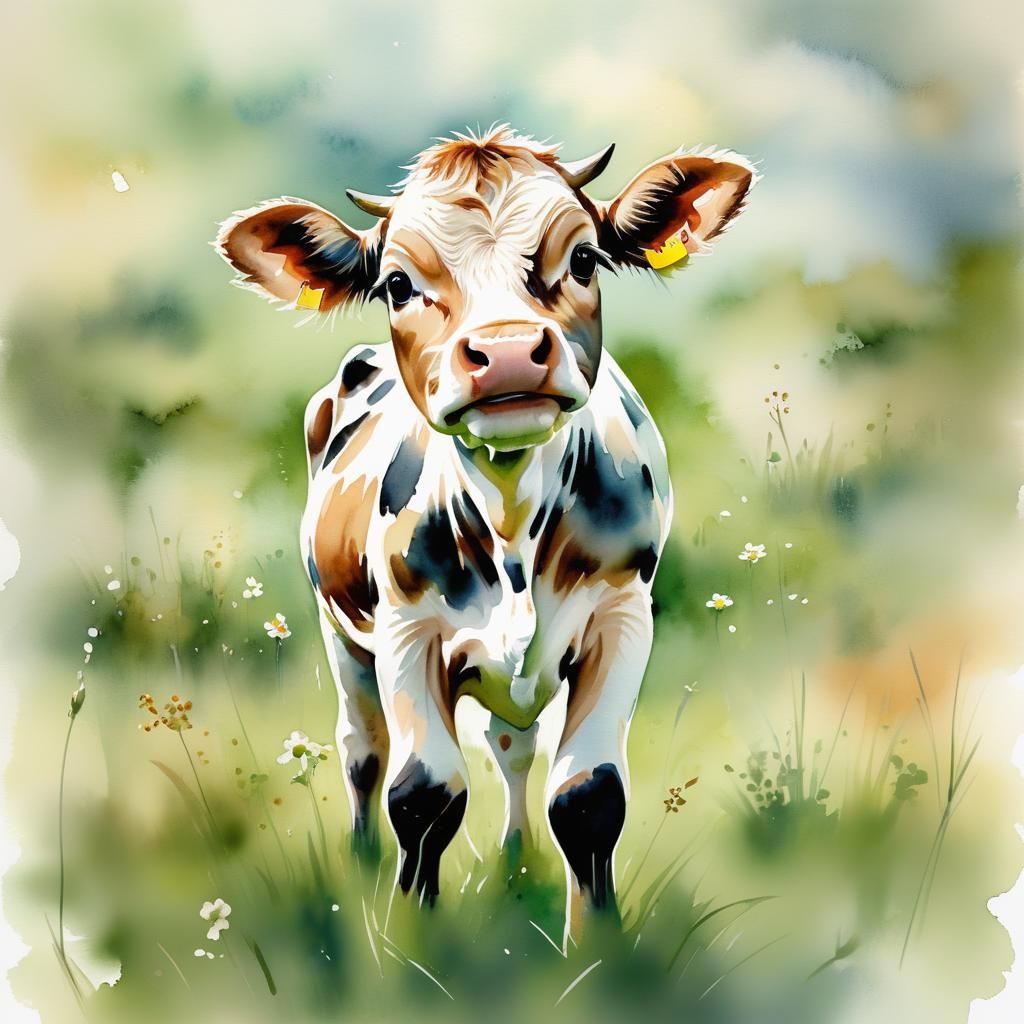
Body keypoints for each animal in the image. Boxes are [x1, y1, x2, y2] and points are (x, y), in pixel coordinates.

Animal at [216, 125, 754, 925]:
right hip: (341, 634)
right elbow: (423, 795)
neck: (511, 520)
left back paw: (514, 857)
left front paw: (597, 935)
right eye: (397, 284)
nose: (504, 353)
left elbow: (588, 797)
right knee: (362, 748)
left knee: (511, 747)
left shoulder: (624, 616)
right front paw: (410, 934)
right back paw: (362, 858)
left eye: (584, 258)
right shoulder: (408, 631)